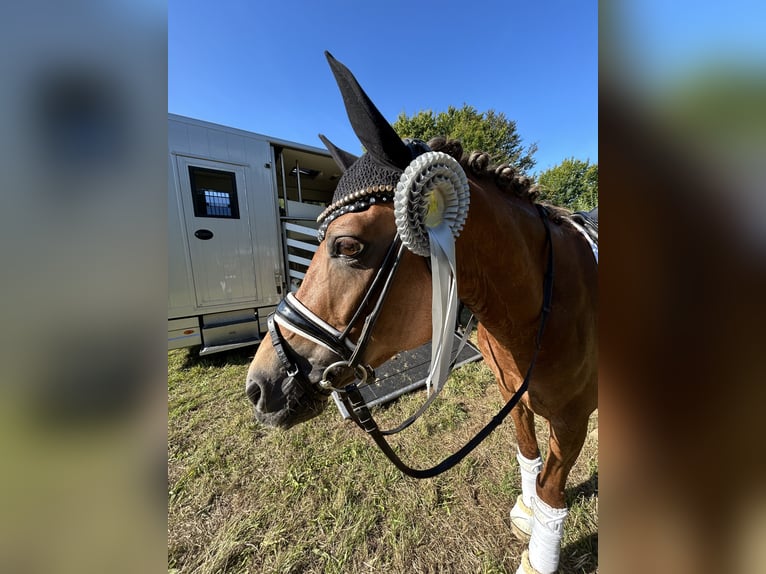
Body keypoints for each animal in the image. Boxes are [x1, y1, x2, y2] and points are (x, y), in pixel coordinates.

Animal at [246, 51, 600, 572]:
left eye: (346, 245)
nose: (259, 386)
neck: (539, 308)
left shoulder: (573, 420)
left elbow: (552, 490)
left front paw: (539, 556)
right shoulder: (513, 394)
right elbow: (528, 454)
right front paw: (526, 511)